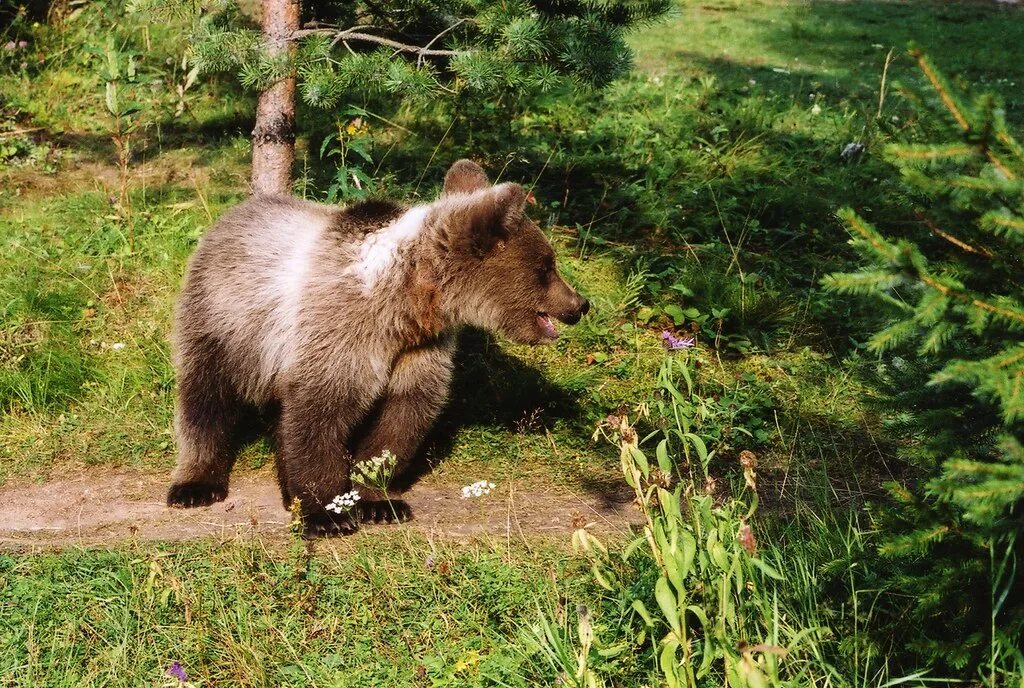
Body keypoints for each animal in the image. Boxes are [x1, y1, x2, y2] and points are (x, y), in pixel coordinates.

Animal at [168, 158, 593, 536]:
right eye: (547, 266)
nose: (580, 304)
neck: (406, 302)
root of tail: (236, 211)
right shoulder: (341, 333)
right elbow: (318, 417)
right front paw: (327, 514)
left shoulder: (419, 349)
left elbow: (399, 420)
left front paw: (380, 502)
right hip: (224, 320)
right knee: (205, 397)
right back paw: (195, 484)